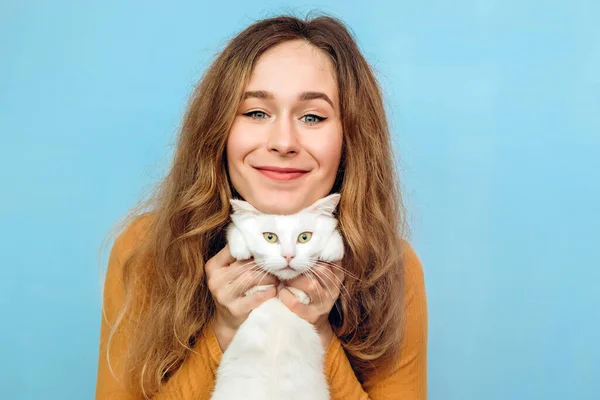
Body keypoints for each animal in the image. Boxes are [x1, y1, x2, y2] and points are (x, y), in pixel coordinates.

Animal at [210, 194, 342, 400]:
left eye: (304, 237)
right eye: (270, 237)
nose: (288, 256)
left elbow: (335, 235)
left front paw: (332, 250)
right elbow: (234, 229)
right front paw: (240, 248)